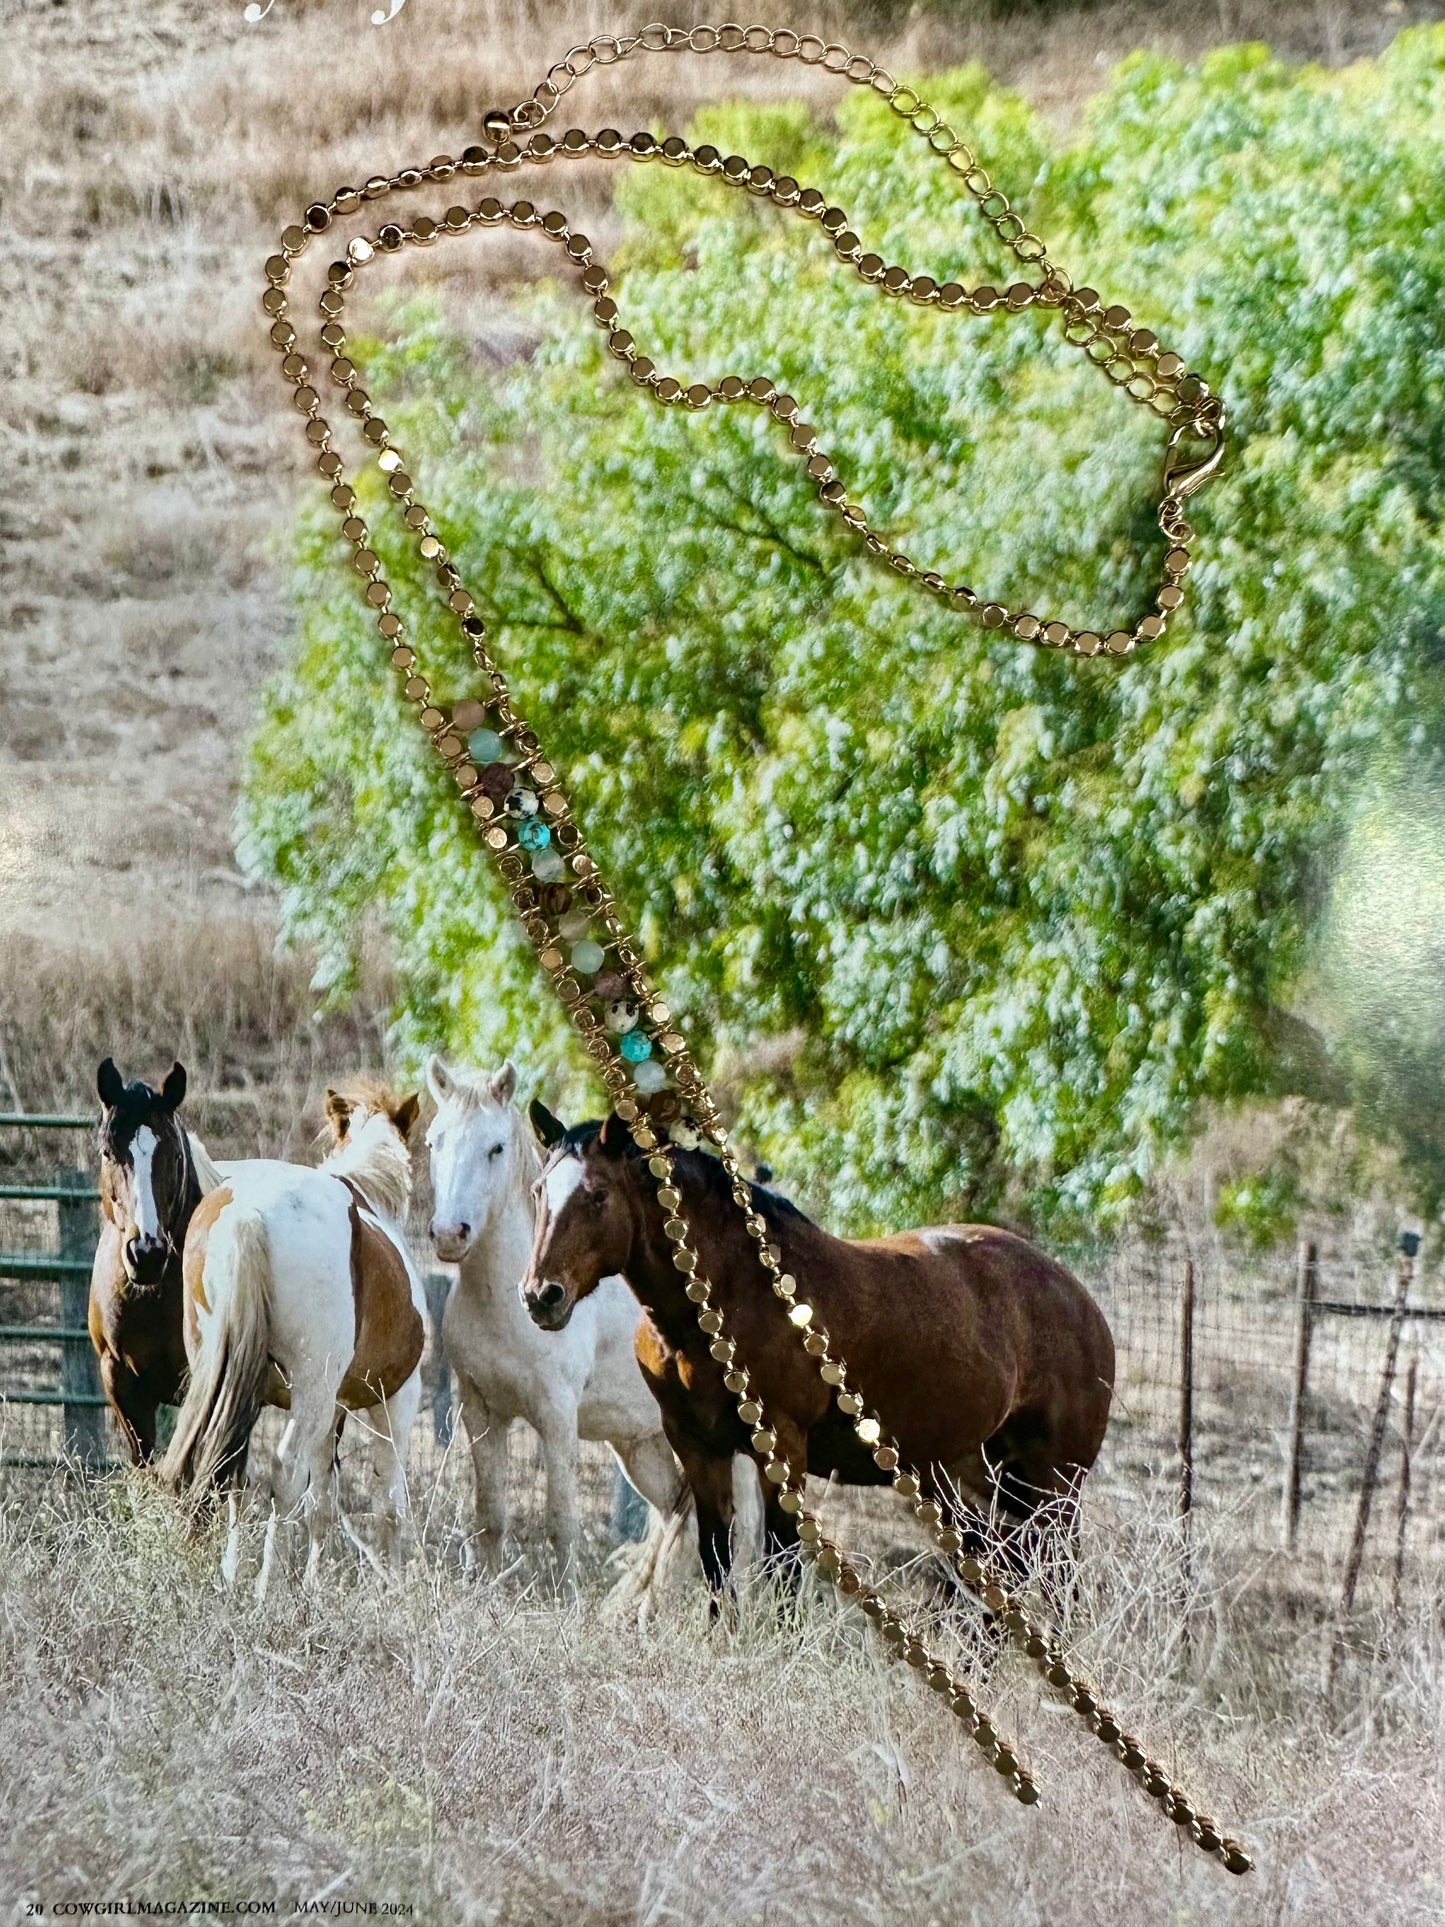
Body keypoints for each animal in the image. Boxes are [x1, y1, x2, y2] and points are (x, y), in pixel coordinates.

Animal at [162, 1079, 429, 1572]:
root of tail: (249, 1214)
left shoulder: (335, 1408)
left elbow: (321, 1504)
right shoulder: (393, 1401)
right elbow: (388, 1501)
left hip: (226, 1377)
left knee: (225, 1466)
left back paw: (225, 1574)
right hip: (313, 1392)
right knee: (285, 1472)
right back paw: (267, 1583)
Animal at [421, 1055, 709, 1580]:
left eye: (495, 1148)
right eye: (435, 1141)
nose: (450, 1234)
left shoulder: (556, 1420)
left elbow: (561, 1524)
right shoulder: (481, 1412)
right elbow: (490, 1518)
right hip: (642, 1446)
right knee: (680, 1523)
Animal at [520, 1109, 1117, 1603]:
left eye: (597, 1194)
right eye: (538, 1190)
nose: (541, 1295)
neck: (727, 1298)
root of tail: (1082, 1302)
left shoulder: (782, 1449)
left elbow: (783, 1569)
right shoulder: (697, 1447)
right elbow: (717, 1564)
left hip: (1052, 1490)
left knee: (1056, 1582)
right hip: (968, 1482)